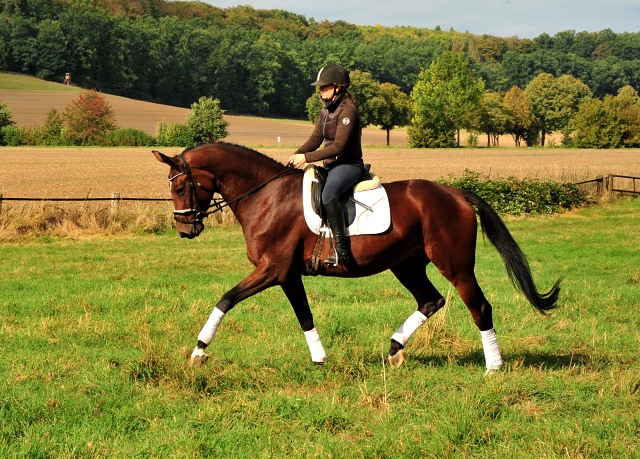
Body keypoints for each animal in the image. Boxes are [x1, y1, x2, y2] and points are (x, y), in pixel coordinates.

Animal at [154, 143, 560, 374]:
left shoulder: (271, 270)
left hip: (456, 266)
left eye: (180, 186)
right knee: (430, 300)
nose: (185, 230)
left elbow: (225, 299)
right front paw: (320, 359)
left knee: (480, 306)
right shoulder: (287, 275)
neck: (265, 195)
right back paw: (395, 350)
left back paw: (494, 368)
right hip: (406, 264)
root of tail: (456, 193)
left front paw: (199, 351)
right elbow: (304, 315)